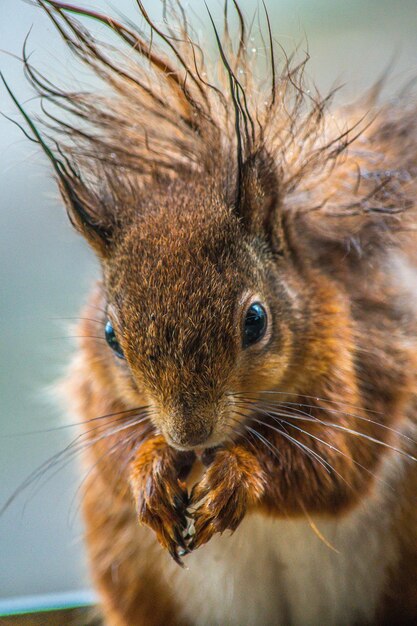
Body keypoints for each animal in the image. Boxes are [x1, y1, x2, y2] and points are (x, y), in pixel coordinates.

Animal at [4, 1, 416, 624]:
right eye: (111, 335)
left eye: (256, 321)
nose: (188, 436)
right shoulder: (95, 386)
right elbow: (112, 450)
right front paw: (150, 469)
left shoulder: (367, 361)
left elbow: (333, 464)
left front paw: (241, 474)